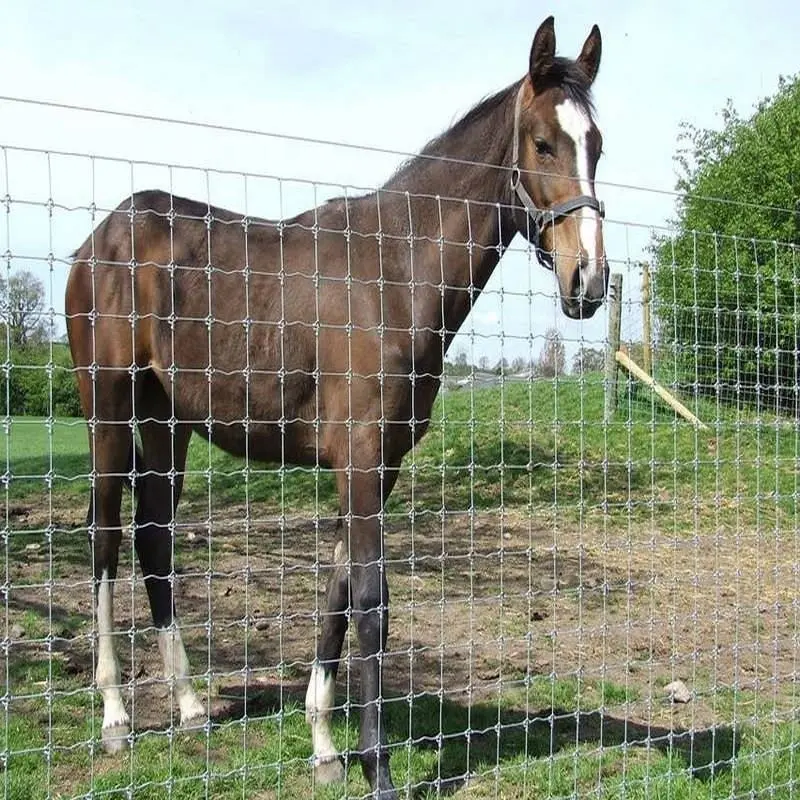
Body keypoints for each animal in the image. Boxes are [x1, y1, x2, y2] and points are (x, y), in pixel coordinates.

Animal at [67, 14, 608, 800]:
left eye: (597, 145)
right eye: (542, 142)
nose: (589, 281)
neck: (395, 271)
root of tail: (98, 238)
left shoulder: (376, 467)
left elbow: (339, 593)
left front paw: (325, 745)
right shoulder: (359, 458)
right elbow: (373, 603)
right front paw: (376, 767)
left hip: (169, 426)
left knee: (154, 537)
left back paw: (191, 705)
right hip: (106, 410)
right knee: (105, 536)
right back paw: (113, 714)